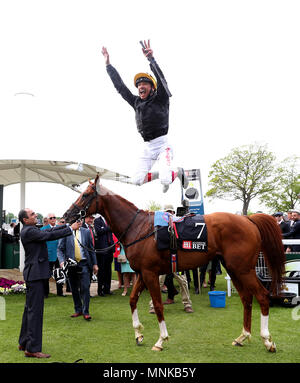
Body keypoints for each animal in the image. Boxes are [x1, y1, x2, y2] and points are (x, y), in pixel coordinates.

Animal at [63, 176, 286, 352]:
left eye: (85, 195)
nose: (67, 216)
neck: (138, 227)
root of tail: (249, 220)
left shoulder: (150, 273)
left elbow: (158, 305)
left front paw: (161, 340)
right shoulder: (142, 274)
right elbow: (133, 300)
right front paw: (138, 334)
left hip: (244, 269)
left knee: (262, 297)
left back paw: (268, 341)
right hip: (234, 269)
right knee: (247, 300)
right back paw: (242, 337)